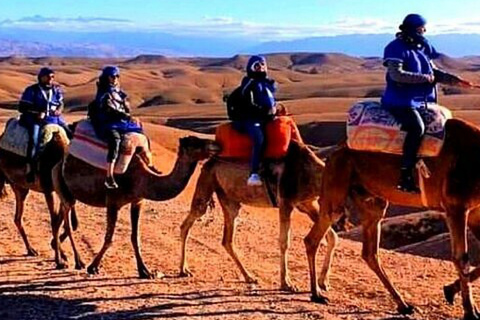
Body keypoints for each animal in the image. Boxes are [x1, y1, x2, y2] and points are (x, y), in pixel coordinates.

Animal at [0, 125, 76, 268]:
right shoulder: (48, 190)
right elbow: (54, 221)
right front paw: (59, 261)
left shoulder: (60, 191)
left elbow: (60, 220)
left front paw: (60, 253)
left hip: (20, 187)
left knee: (17, 218)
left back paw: (31, 250)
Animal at [52, 136, 218, 278]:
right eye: (195, 142)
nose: (215, 144)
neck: (141, 179)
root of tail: (59, 163)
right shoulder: (112, 202)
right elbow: (109, 238)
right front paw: (93, 267)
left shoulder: (137, 202)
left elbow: (135, 237)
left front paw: (145, 271)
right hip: (62, 186)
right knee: (66, 223)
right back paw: (76, 261)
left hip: (68, 193)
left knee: (58, 220)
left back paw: (59, 254)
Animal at [179, 139, 338, 292]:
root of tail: (208, 162)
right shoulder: (286, 202)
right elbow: (284, 242)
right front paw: (287, 283)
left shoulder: (307, 204)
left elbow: (332, 237)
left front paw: (324, 282)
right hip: (207, 179)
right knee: (190, 221)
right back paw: (183, 270)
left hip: (229, 199)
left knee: (227, 239)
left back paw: (249, 277)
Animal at [312, 118, 480, 320]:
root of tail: (335, 152)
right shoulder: (456, 207)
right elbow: (461, 257)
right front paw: (470, 311)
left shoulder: (474, 211)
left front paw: (450, 291)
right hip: (337, 183)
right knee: (313, 238)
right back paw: (316, 294)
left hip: (371, 200)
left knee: (370, 252)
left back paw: (403, 305)